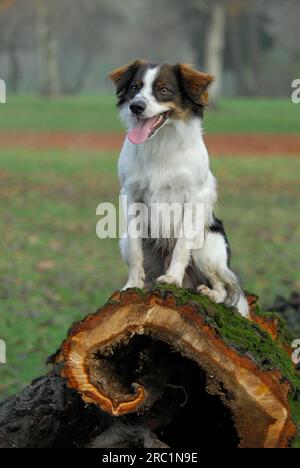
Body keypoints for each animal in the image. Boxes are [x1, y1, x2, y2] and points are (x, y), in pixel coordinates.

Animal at [109, 57, 250, 314]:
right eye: (135, 87)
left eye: (164, 90)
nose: (136, 106)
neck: (160, 143)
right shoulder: (132, 196)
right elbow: (135, 252)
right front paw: (131, 285)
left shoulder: (194, 198)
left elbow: (182, 246)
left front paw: (172, 278)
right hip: (125, 242)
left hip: (207, 246)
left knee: (224, 288)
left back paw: (207, 292)